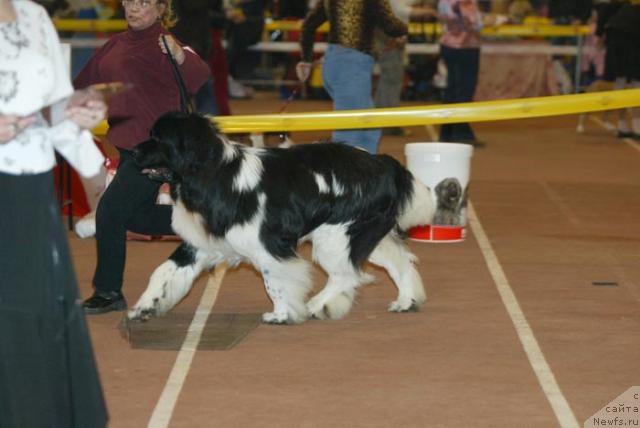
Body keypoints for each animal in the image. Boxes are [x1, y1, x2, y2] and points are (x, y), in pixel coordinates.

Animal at [126, 111, 436, 324]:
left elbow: (274, 281)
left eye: (157, 139)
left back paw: (317, 305)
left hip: (336, 234)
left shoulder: (267, 245)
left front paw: (282, 314)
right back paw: (406, 301)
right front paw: (144, 306)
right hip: (365, 234)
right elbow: (163, 272)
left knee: (346, 275)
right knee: (398, 263)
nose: (131, 151)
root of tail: (384, 163)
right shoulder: (201, 244)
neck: (215, 174)